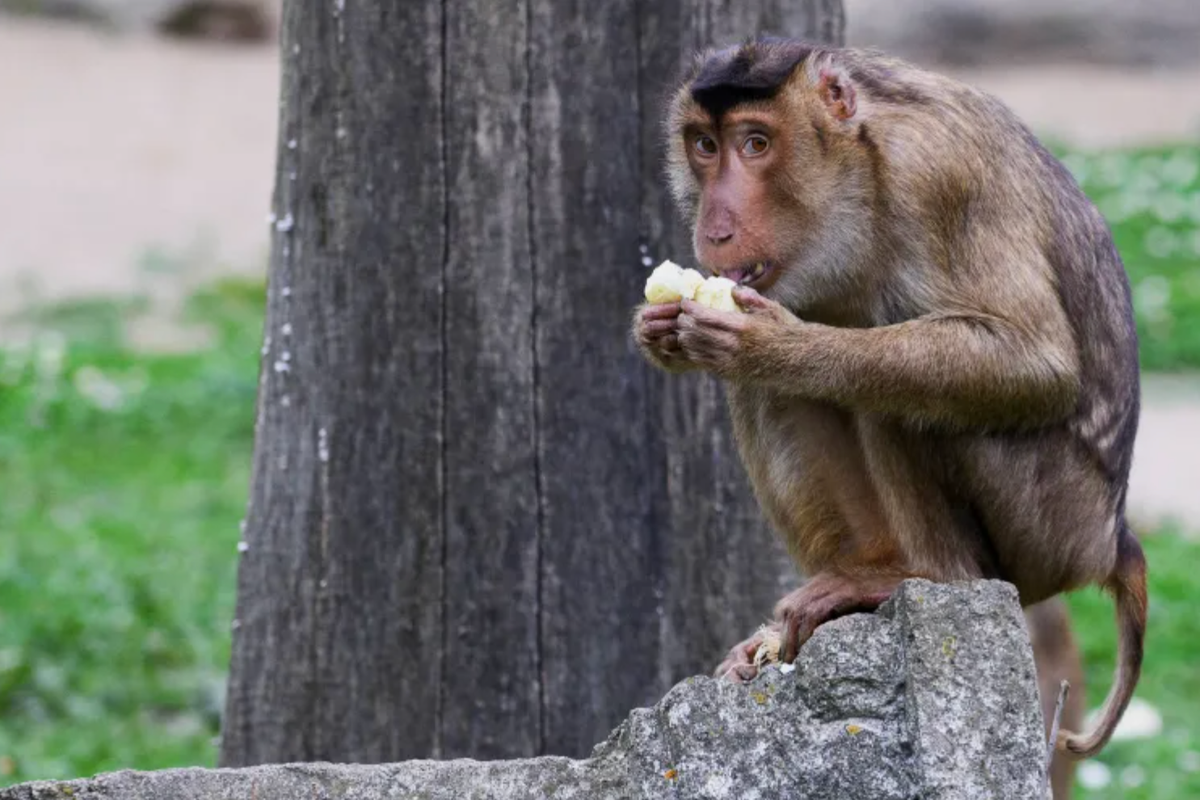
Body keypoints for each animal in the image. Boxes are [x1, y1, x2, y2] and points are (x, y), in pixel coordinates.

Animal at [632, 37, 1145, 765]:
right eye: (704, 145)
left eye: (756, 143)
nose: (716, 227)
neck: (862, 165)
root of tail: (1112, 539)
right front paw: (663, 331)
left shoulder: (940, 172)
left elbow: (1035, 363)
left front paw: (770, 345)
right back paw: (854, 588)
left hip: (1050, 526)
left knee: (901, 391)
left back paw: (928, 576)